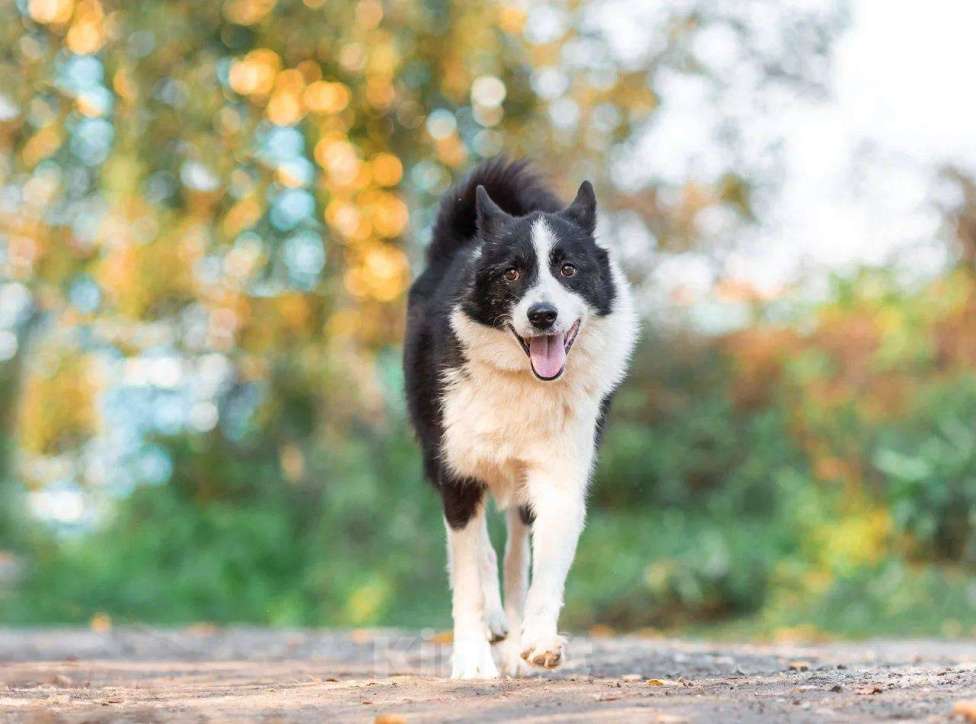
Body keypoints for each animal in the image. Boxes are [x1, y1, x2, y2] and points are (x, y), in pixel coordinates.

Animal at [402, 158, 636, 680]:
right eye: (511, 273)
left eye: (568, 269)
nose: (543, 314)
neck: (524, 383)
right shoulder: (458, 475)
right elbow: (468, 577)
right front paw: (471, 660)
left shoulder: (560, 479)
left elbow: (544, 569)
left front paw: (539, 641)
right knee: (480, 552)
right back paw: (493, 626)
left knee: (513, 553)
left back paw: (512, 644)